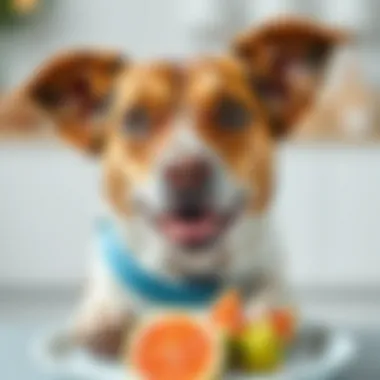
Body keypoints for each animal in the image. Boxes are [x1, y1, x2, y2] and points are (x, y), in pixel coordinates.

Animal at [8, 17, 348, 356]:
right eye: (135, 120)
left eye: (232, 113)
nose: (186, 172)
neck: (185, 283)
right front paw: (106, 315)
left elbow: (272, 293)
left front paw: (264, 311)